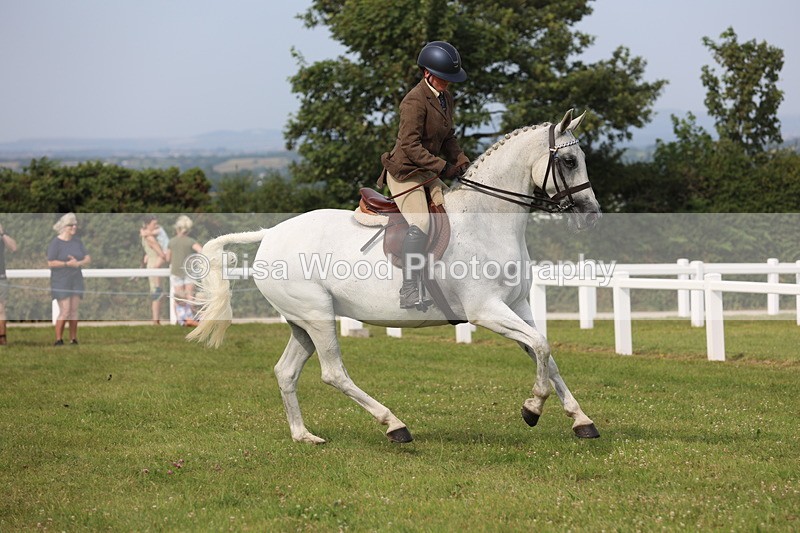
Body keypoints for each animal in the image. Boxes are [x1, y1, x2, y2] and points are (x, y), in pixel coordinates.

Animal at [188, 109, 602, 444]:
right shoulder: (487, 310)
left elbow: (545, 353)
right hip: (318, 316)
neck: (487, 221)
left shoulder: (518, 305)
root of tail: (271, 234)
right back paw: (394, 426)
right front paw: (532, 409)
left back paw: (304, 436)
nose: (591, 214)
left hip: (301, 322)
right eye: (568, 161)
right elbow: (542, 347)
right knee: (333, 373)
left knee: (286, 372)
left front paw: (581, 421)